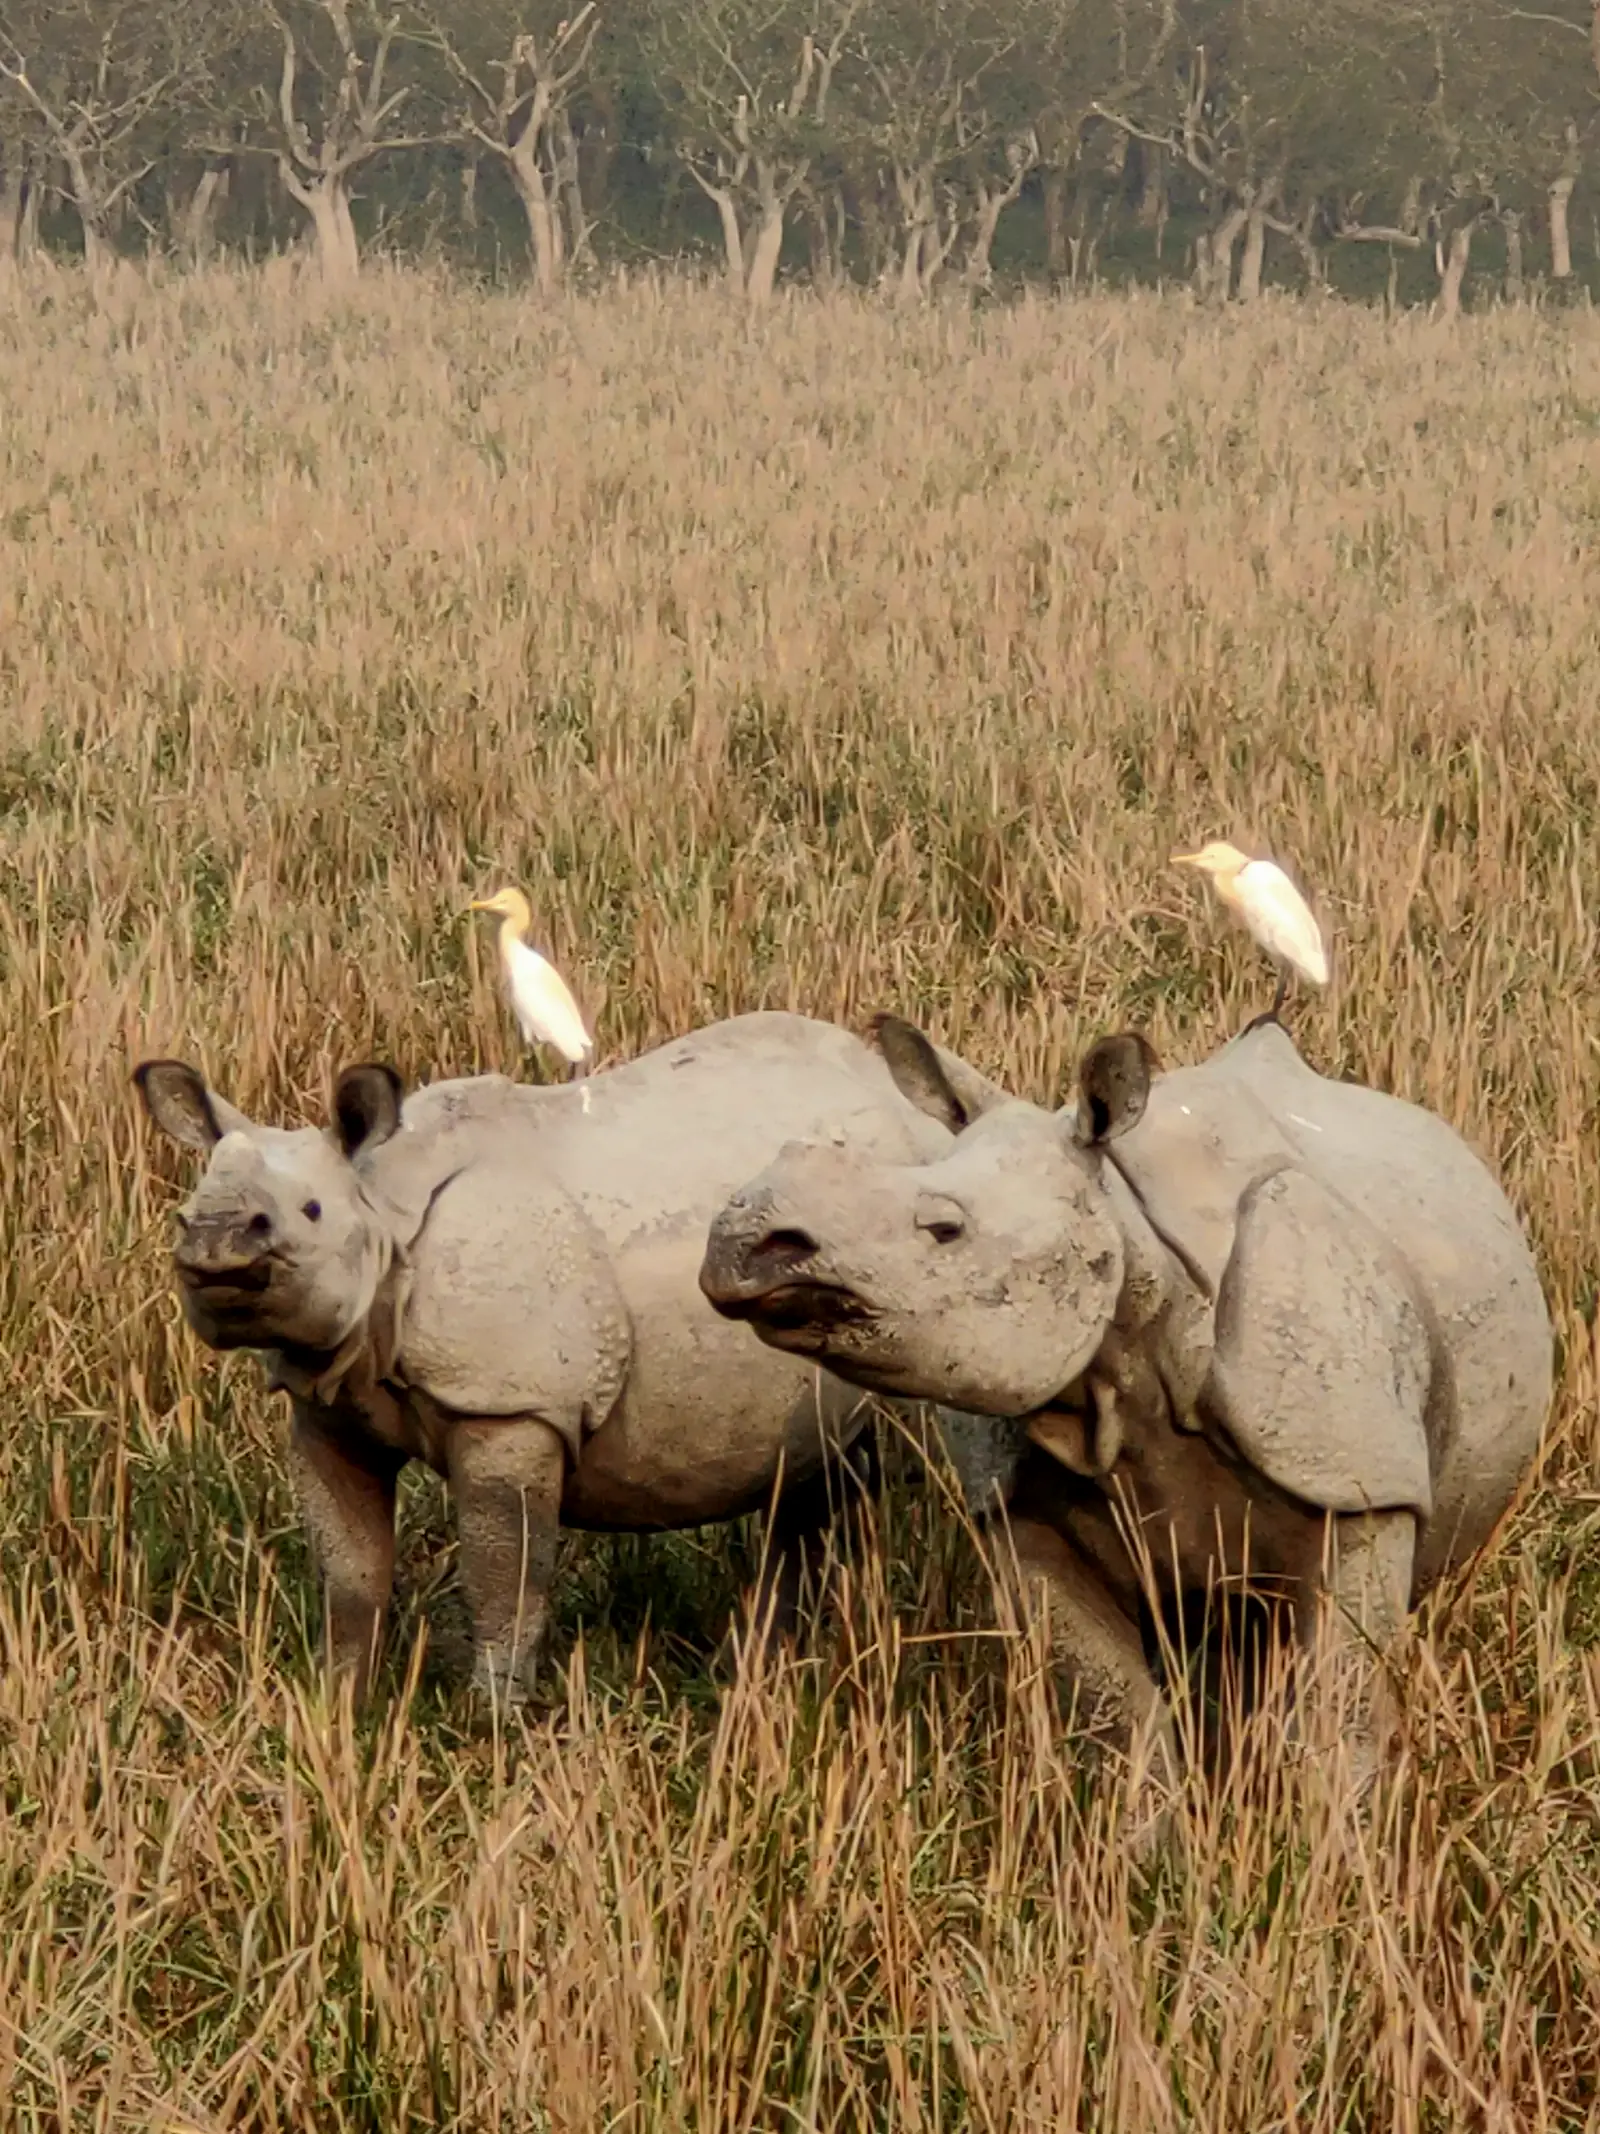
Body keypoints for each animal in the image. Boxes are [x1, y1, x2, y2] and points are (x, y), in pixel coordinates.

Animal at [133, 1012, 954, 1708]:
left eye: (307, 1214)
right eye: (182, 1216)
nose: (213, 1244)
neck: (379, 1210)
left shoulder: (511, 1408)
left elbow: (505, 1575)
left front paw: (493, 1723)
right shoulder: (328, 1401)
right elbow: (351, 1570)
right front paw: (339, 1710)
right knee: (816, 1465)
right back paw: (771, 1667)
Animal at [700, 1014, 1553, 1784]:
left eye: (944, 1231)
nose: (745, 1248)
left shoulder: (1353, 1477)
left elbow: (1338, 1713)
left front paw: (1331, 1847)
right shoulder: (1021, 1508)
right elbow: (1117, 1717)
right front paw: (1152, 1851)